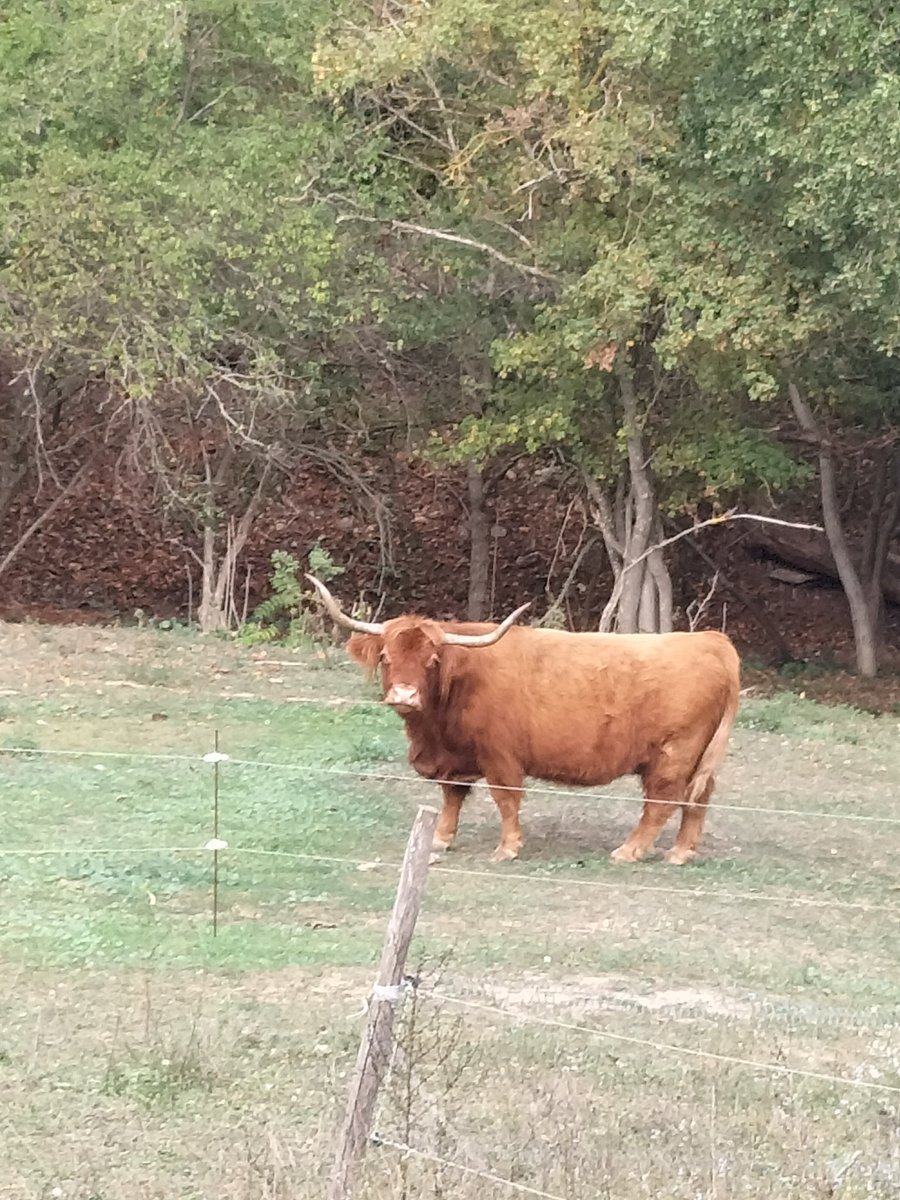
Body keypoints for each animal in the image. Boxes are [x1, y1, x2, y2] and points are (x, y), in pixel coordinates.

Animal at [307, 575, 741, 866]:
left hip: (673, 754)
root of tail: (711, 641)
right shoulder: (455, 759)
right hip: (697, 757)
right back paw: (681, 852)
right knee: (699, 797)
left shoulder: (500, 755)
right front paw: (441, 840)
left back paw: (629, 850)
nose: (404, 696)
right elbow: (451, 796)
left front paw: (508, 848)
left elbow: (506, 799)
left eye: (431, 661)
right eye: (386, 658)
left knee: (662, 802)